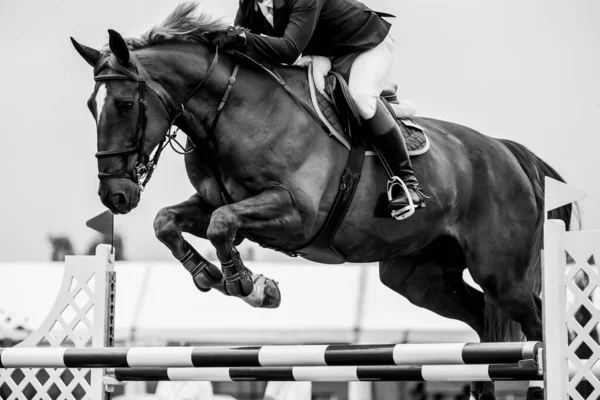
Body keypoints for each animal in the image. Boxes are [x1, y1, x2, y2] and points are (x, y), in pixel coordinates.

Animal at [71, 3, 572, 400]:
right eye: (91, 107)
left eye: (123, 105)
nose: (115, 196)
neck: (230, 109)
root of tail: (506, 151)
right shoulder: (213, 202)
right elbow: (169, 221)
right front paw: (210, 275)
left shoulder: (296, 213)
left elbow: (222, 224)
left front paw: (250, 285)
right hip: (420, 276)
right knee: (480, 324)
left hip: (502, 274)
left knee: (537, 325)